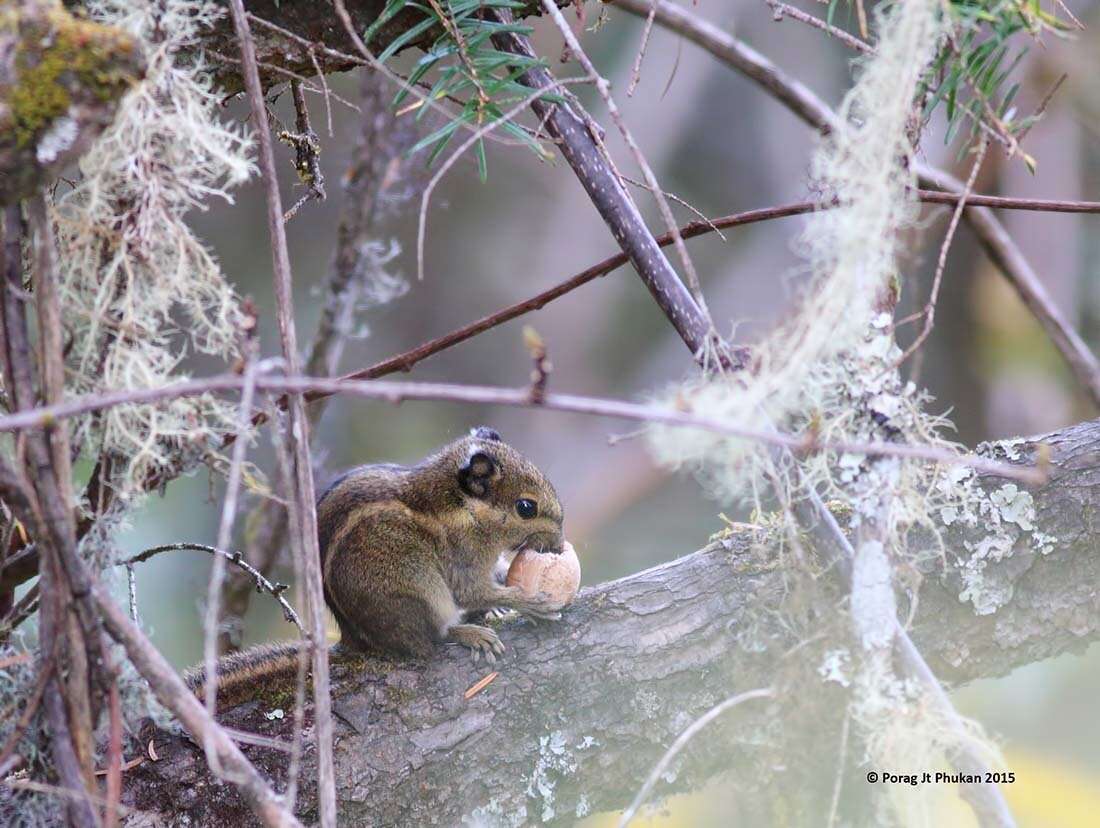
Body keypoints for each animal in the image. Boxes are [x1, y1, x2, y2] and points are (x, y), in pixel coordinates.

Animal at [183, 428, 563, 699]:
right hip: (419, 589)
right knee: (431, 639)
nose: (559, 547)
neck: (462, 507)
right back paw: (469, 632)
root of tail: (354, 640)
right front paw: (529, 602)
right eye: (526, 507)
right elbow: (473, 592)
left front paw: (504, 596)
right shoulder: (462, 557)